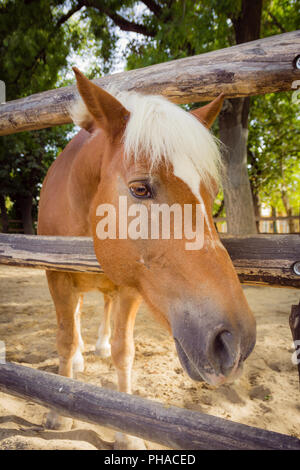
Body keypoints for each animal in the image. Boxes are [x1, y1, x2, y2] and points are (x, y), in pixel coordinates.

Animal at [37, 68, 255, 450]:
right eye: (140, 188)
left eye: (212, 193)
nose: (235, 342)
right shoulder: (57, 275)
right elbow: (65, 339)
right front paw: (57, 411)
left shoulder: (131, 287)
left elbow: (124, 351)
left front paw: (126, 433)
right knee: (75, 319)